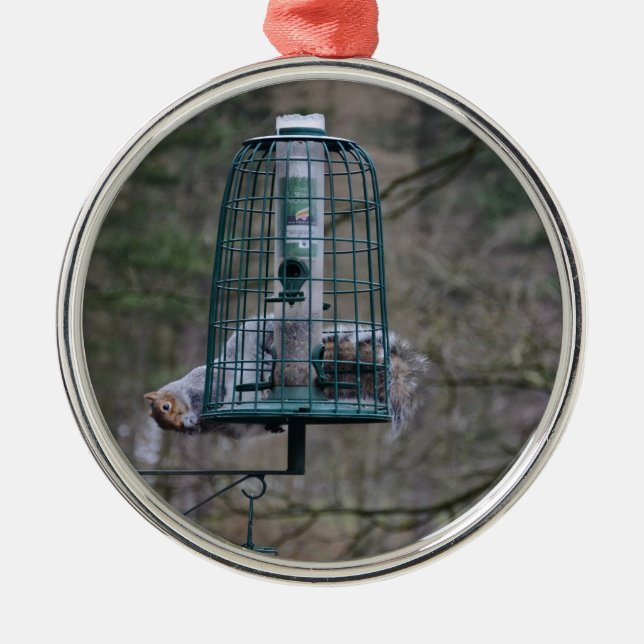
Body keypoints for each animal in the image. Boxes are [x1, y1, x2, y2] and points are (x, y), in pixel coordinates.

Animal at [145, 316, 429, 436]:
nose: (182, 426)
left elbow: (206, 396)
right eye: (163, 425)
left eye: (166, 406)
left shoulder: (204, 388)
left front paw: (193, 417)